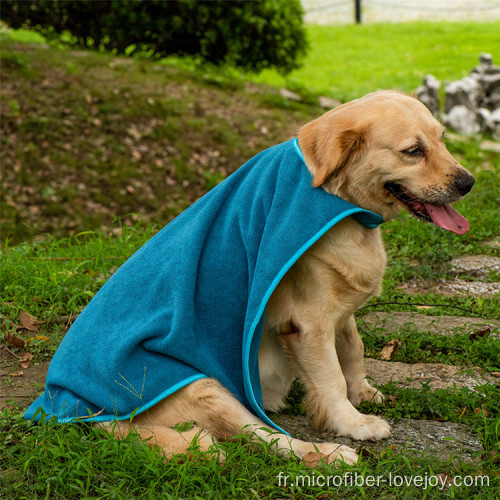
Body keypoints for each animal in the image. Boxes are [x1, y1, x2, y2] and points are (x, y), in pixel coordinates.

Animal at [97, 91, 472, 464]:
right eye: (413, 150)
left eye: (442, 139)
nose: (468, 183)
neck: (341, 202)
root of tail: (92, 416)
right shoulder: (308, 322)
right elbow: (332, 379)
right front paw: (353, 423)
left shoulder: (339, 308)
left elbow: (353, 348)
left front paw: (362, 391)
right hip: (206, 388)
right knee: (269, 440)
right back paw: (330, 453)